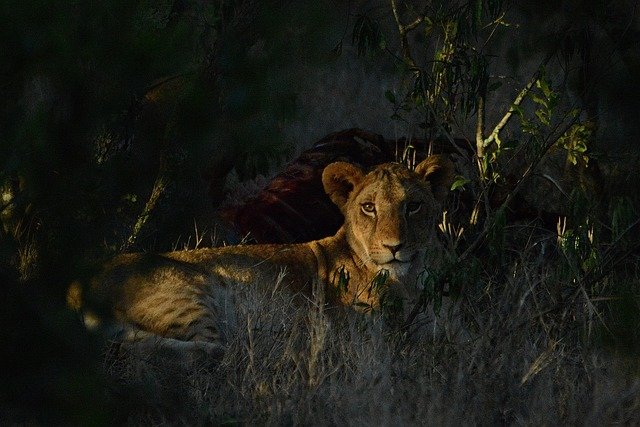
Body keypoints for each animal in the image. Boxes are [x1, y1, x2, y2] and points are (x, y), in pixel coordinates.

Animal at [69, 155, 454, 351]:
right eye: (369, 207)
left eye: (414, 206)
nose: (394, 247)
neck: (405, 282)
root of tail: (73, 286)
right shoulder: (362, 333)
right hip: (188, 296)